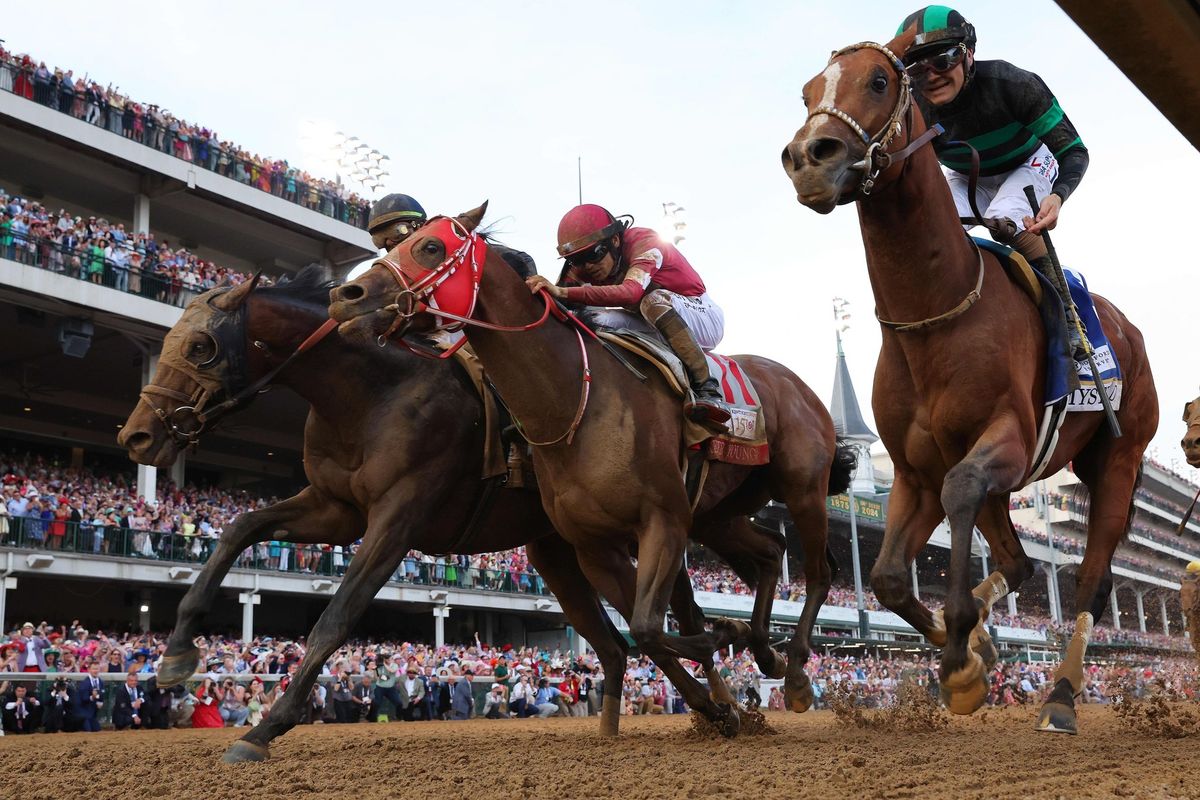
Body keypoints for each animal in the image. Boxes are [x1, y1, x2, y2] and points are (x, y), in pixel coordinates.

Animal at [119, 263, 796, 758]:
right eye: (171, 340)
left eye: (202, 346)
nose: (137, 436)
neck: (374, 391)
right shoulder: (336, 508)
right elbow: (240, 527)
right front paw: (176, 652)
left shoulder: (398, 515)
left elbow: (337, 617)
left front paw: (266, 728)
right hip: (564, 551)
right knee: (623, 639)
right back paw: (702, 704)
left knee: (656, 622)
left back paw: (731, 688)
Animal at [324, 208, 859, 734]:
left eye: (430, 247)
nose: (345, 296)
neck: (574, 400)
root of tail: (795, 384)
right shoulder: (593, 545)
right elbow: (646, 631)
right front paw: (725, 657)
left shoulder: (663, 520)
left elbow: (648, 626)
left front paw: (726, 655)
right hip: (718, 513)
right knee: (770, 553)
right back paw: (766, 650)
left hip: (801, 487)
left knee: (818, 570)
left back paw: (795, 674)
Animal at [782, 28, 1156, 734]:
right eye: (808, 92)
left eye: (878, 80)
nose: (808, 159)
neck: (935, 314)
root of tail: (1128, 331)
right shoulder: (914, 469)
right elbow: (888, 577)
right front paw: (972, 651)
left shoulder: (1003, 438)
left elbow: (959, 497)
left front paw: (961, 656)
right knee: (1018, 560)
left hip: (1116, 458)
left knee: (1091, 578)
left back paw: (1061, 695)